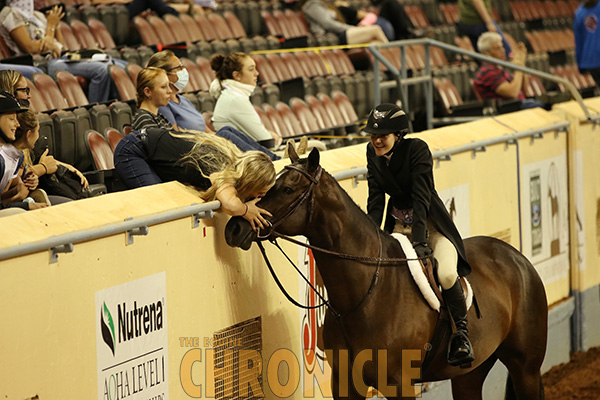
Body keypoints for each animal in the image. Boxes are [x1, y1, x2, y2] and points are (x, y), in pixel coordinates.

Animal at [225, 148, 548, 400]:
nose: (235, 228)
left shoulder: (398, 384)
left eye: (288, 190)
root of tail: (515, 257)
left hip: (526, 368)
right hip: (470, 372)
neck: (365, 293)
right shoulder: (345, 383)